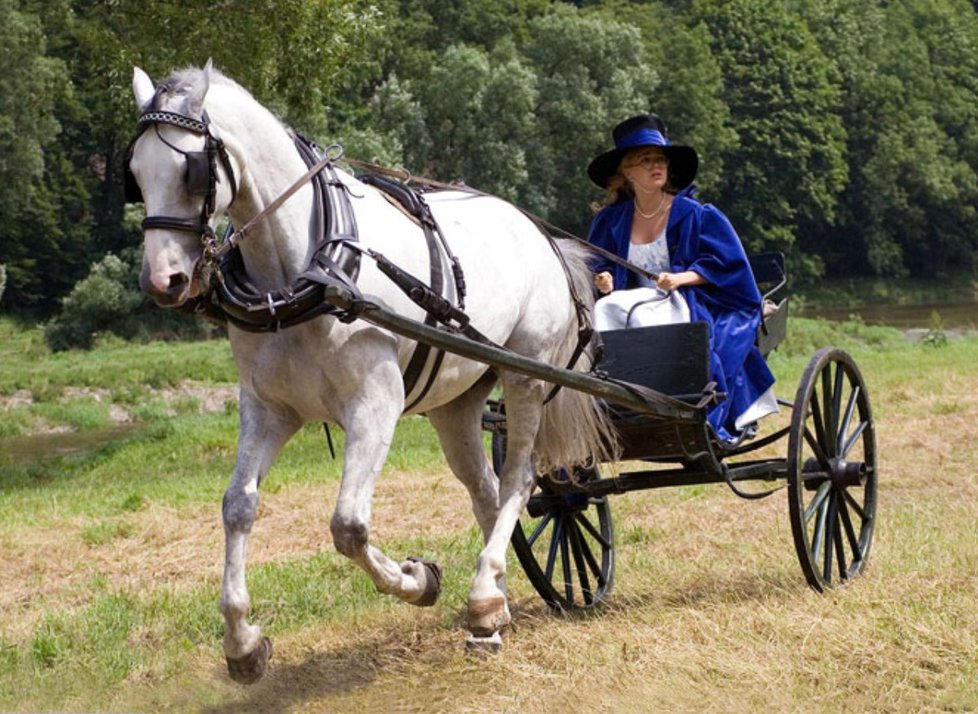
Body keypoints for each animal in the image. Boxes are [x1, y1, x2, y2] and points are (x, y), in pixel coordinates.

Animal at [126, 64, 608, 680]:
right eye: (135, 175)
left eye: (191, 170)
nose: (162, 281)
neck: (305, 271)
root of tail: (538, 231)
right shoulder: (268, 407)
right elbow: (238, 507)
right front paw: (243, 641)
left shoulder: (375, 404)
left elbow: (349, 526)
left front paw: (419, 579)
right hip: (456, 402)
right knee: (486, 489)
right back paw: (492, 603)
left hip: (526, 377)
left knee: (520, 480)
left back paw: (483, 596)